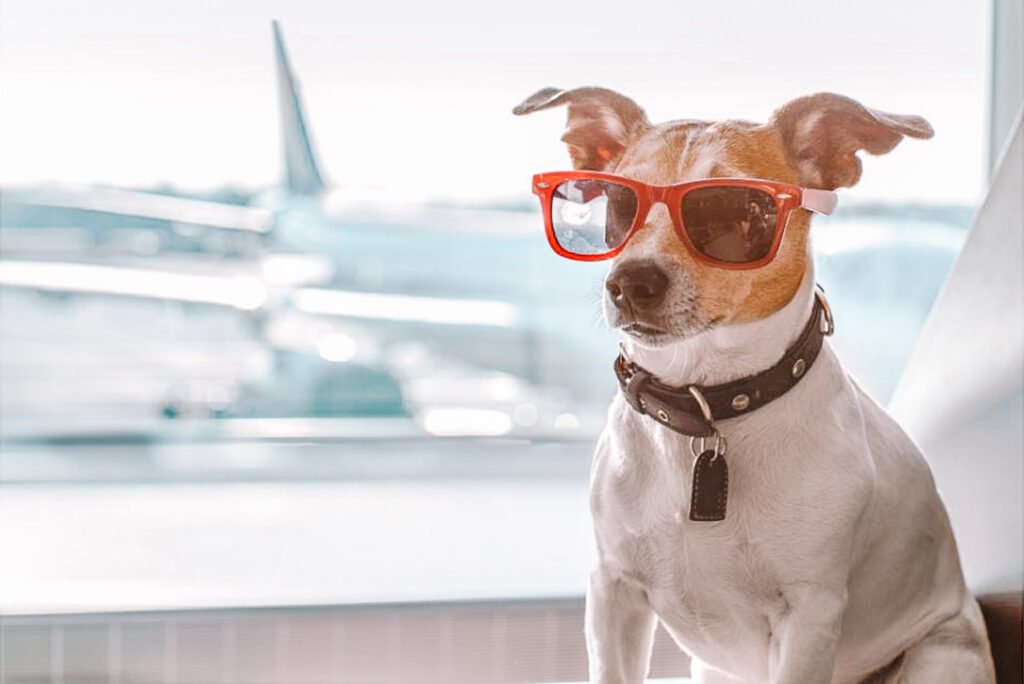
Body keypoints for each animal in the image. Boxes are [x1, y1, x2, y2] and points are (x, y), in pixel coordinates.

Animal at [516, 87, 995, 684]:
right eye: (618, 205)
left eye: (735, 210)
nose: (630, 282)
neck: (705, 410)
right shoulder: (613, 592)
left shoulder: (808, 618)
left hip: (941, 653)